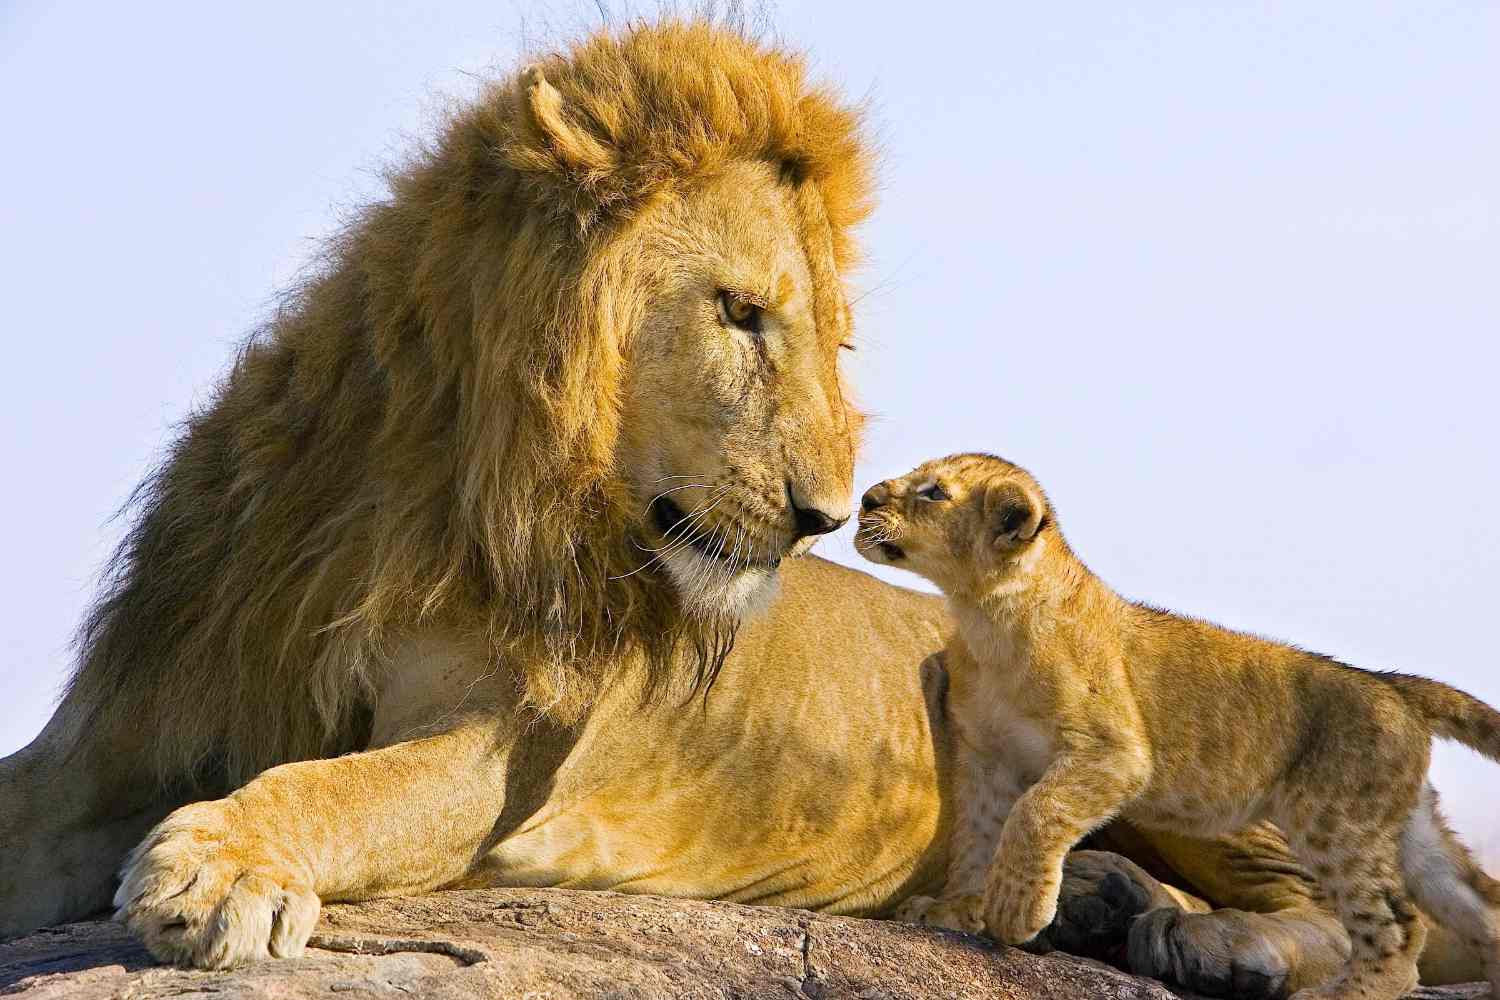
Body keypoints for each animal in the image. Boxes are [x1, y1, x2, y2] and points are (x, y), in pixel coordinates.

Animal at [0, 18, 1484, 996]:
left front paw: (217, 867)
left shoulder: (504, 755)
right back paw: (1088, 906)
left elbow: (344, 783)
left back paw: (1217, 941)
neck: (423, 482)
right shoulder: (122, 731)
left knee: (1373, 921)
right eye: (737, 313)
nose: (827, 514)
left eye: (832, 337)